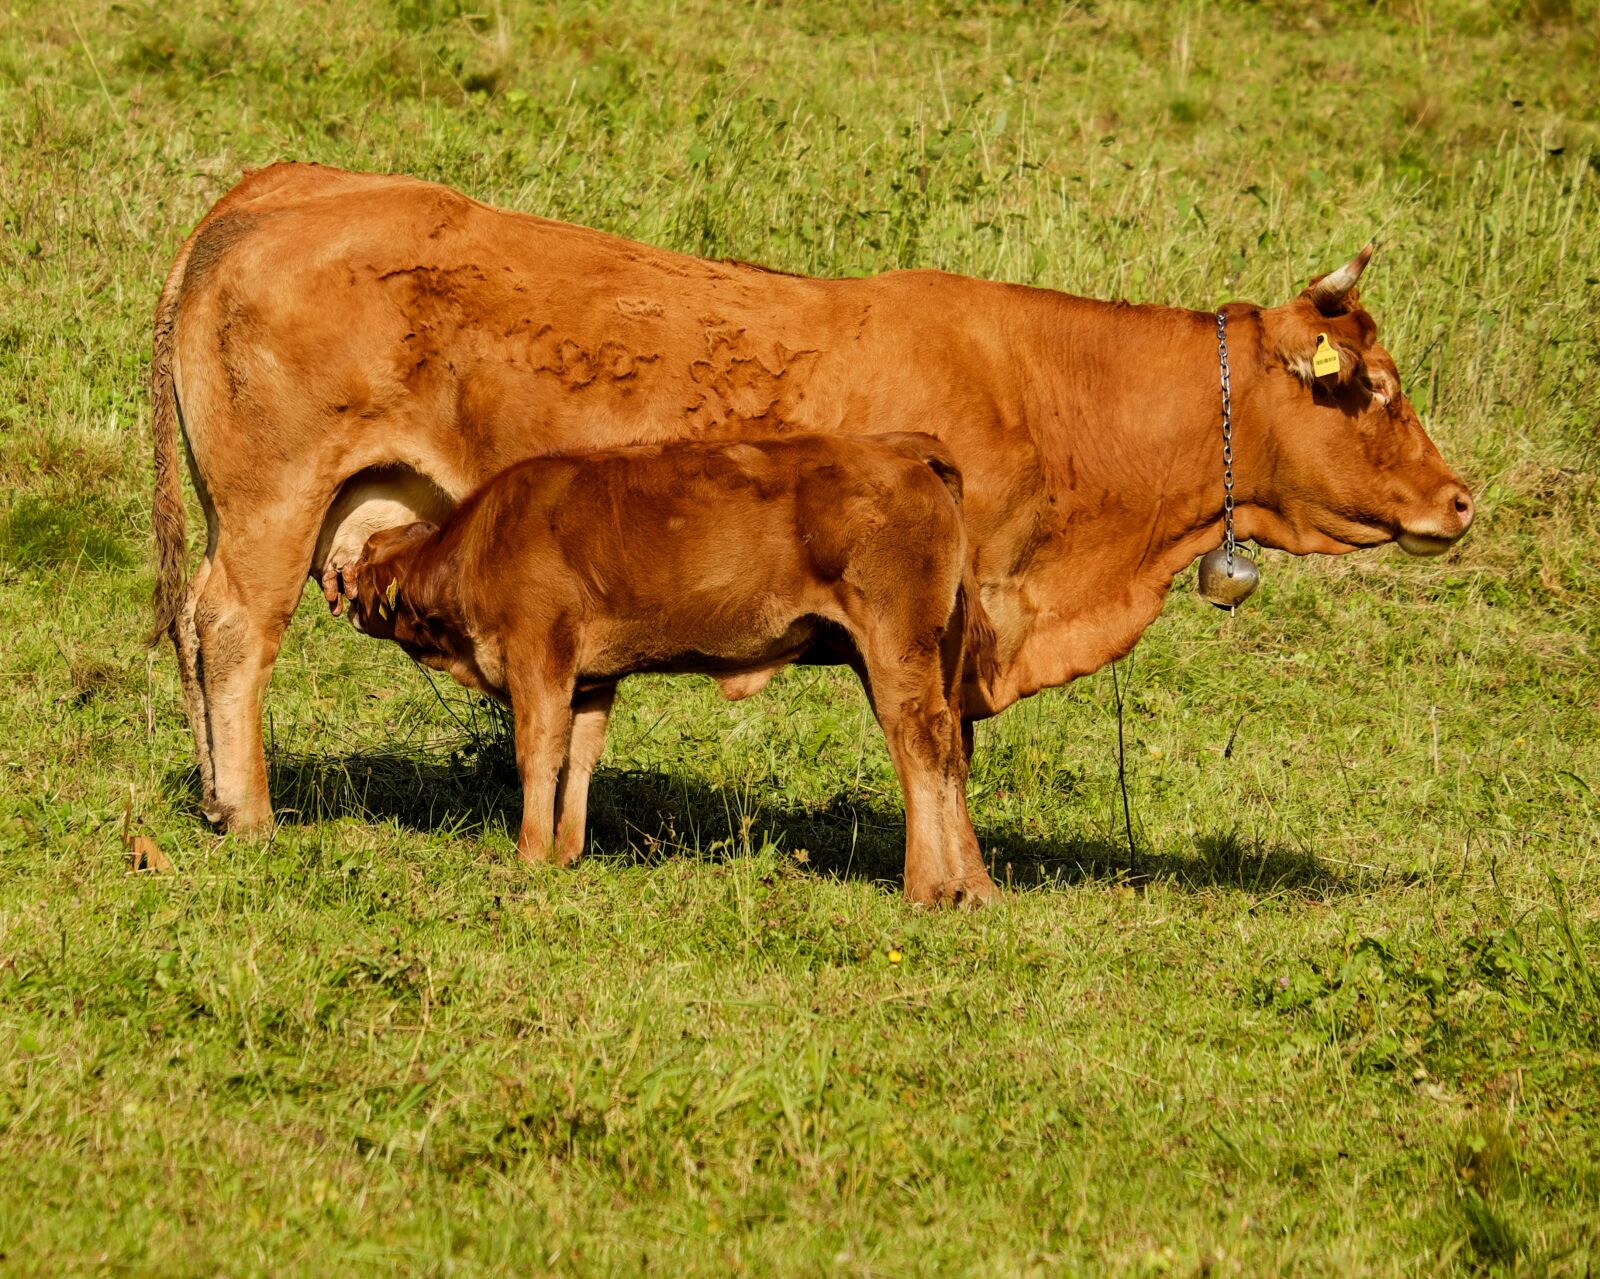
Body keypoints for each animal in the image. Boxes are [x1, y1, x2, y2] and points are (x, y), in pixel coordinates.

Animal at [149, 163, 1474, 840]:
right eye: (1364, 388)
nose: (1460, 500)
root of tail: (290, 183)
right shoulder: (939, 609)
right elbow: (935, 737)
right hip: (273, 501)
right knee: (232, 631)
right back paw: (245, 812)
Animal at [341, 432, 999, 905]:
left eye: (366, 559)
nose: (335, 584)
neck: (481, 542)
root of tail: (899, 449)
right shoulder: (592, 679)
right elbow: (579, 756)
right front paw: (567, 852)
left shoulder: (538, 654)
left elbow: (537, 752)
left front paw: (529, 855)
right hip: (925, 654)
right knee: (952, 751)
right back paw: (975, 890)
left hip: (894, 645)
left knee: (920, 743)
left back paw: (926, 888)